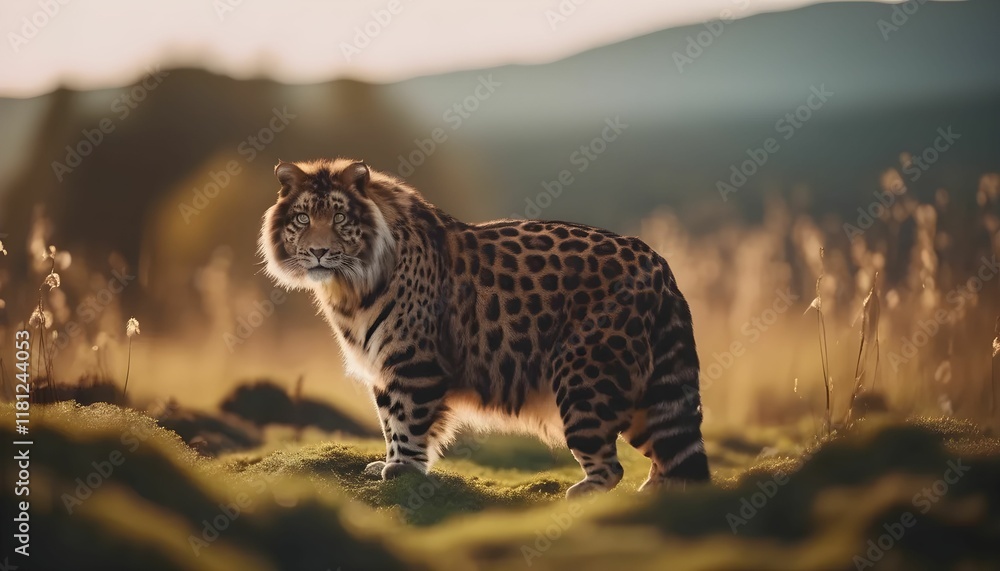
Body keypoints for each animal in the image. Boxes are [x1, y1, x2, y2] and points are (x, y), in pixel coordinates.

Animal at [259, 157, 710, 498]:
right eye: (302, 218)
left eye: (339, 216)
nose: (319, 251)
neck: (347, 286)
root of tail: (657, 262)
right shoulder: (383, 367)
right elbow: (389, 419)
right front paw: (389, 463)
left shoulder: (412, 363)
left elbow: (408, 420)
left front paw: (403, 469)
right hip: (644, 389)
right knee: (671, 449)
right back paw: (661, 497)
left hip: (587, 378)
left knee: (614, 464)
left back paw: (585, 493)